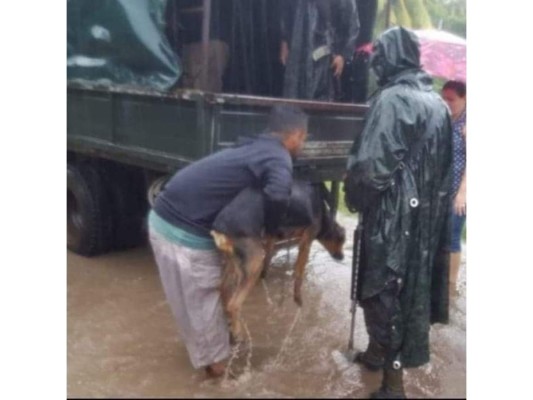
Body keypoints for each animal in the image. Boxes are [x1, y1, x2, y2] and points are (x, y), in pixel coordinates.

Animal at [210, 181, 342, 340]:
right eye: (341, 240)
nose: (341, 257)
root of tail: (220, 229)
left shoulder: (272, 237)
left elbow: (269, 259)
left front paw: (265, 278)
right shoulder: (306, 239)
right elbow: (299, 272)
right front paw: (298, 300)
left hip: (233, 261)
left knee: (223, 288)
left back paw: (229, 323)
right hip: (253, 262)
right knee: (233, 304)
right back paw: (237, 333)